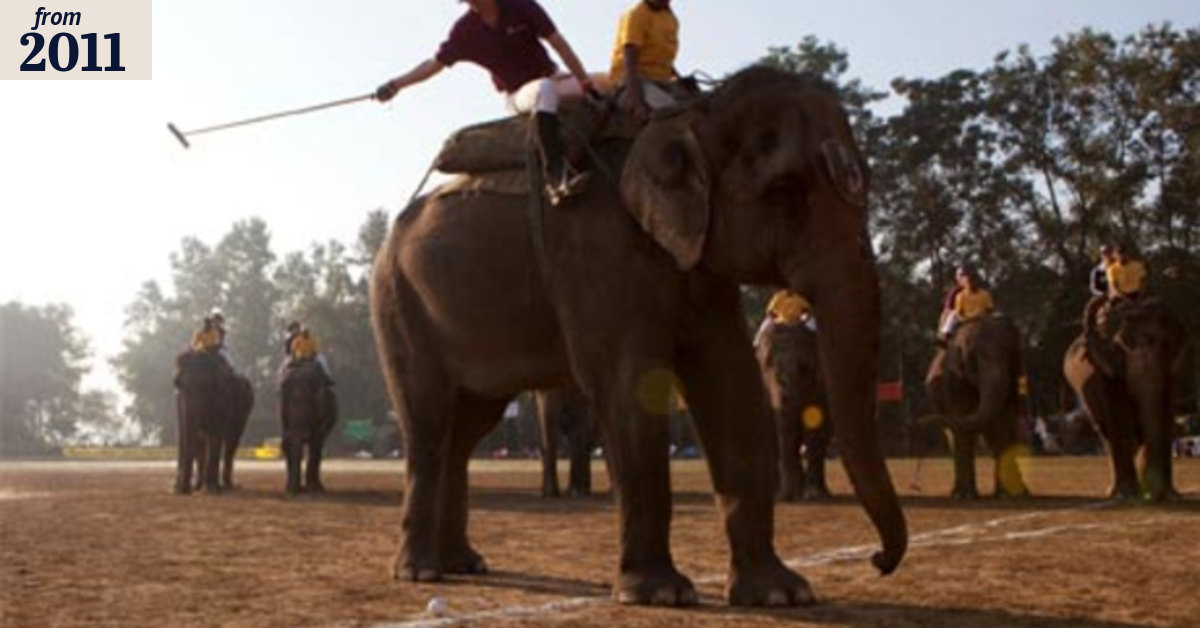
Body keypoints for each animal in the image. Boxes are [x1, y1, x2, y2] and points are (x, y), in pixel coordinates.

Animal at [173, 351, 254, 494]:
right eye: (177, 383)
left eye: (204, 386)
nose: (182, 490)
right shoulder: (179, 400)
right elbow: (189, 436)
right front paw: (188, 488)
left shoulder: (222, 399)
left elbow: (215, 434)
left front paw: (211, 489)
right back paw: (200, 485)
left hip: (243, 414)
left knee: (231, 442)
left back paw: (227, 485)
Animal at [279, 361, 338, 495]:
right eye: (284, 396)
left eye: (312, 397)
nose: (292, 494)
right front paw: (291, 489)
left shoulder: (323, 410)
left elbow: (315, 442)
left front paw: (313, 491)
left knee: (318, 447)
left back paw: (319, 488)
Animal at [755, 318, 832, 501]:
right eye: (767, 365)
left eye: (804, 367)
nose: (787, 497)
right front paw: (786, 495)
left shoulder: (821, 384)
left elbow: (816, 428)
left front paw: (814, 495)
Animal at [923, 312, 1030, 499]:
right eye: (973, 356)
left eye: (1009, 353)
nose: (919, 422)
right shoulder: (953, 379)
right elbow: (961, 419)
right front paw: (966, 495)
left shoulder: (1014, 375)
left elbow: (1004, 421)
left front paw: (1007, 495)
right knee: (955, 434)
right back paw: (958, 493)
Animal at [1064, 297, 1187, 500]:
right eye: (1121, 347)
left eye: (1166, 345)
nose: (1152, 494)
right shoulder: (1105, 373)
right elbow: (1118, 420)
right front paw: (1129, 494)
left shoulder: (1171, 373)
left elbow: (1165, 416)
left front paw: (1167, 495)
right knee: (1105, 432)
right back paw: (1115, 492)